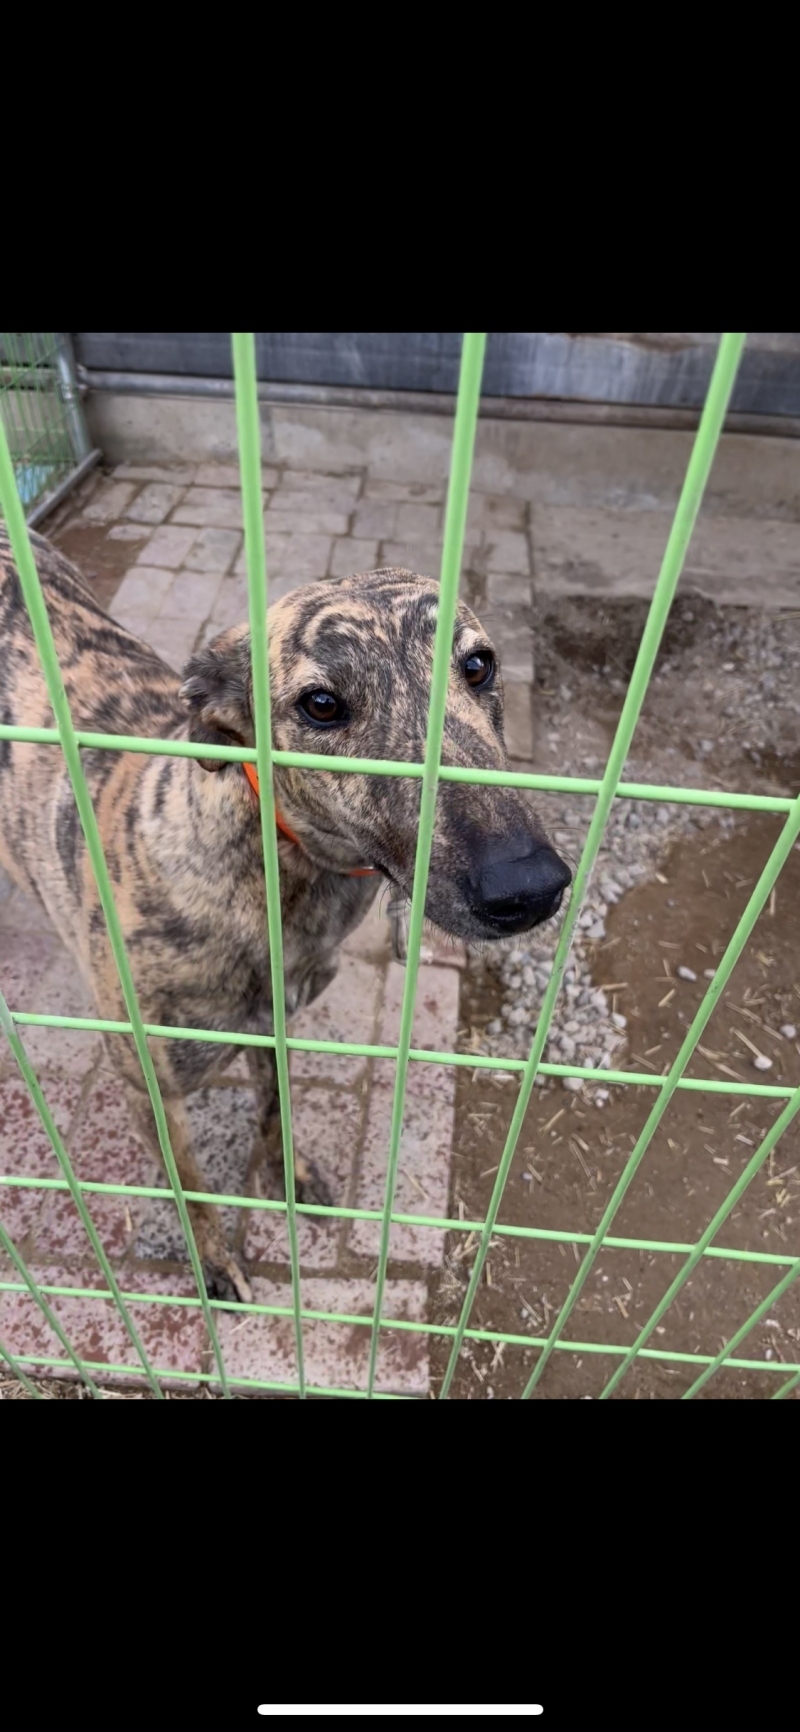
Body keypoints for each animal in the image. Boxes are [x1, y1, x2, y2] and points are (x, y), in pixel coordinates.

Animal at [0, 527, 571, 1301]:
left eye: (478, 665)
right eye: (322, 704)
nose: (530, 885)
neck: (277, 870)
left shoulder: (276, 1025)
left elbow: (275, 1114)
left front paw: (290, 1178)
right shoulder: (153, 1086)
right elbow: (192, 1187)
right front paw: (213, 1262)